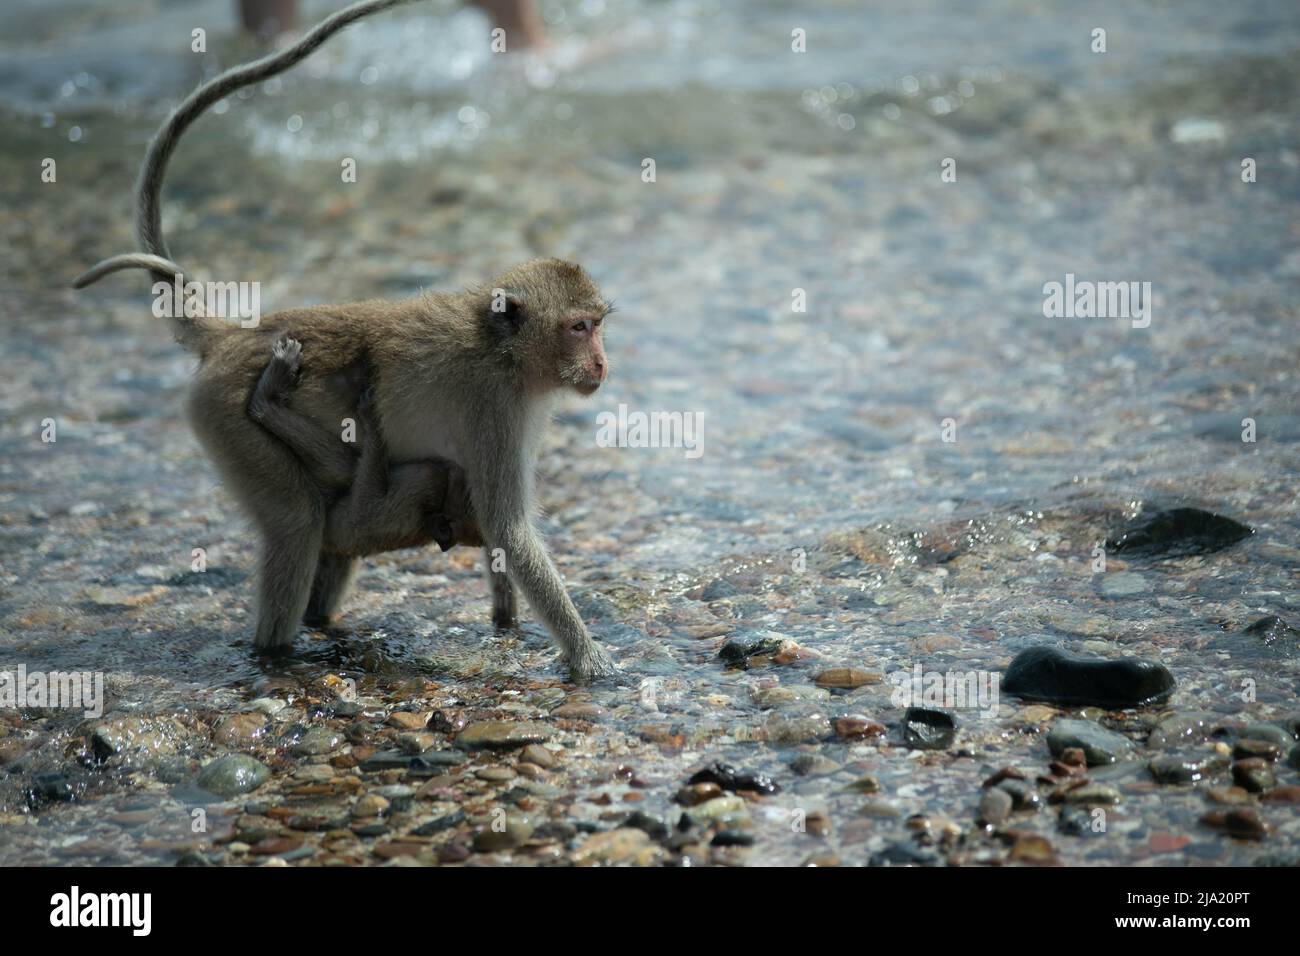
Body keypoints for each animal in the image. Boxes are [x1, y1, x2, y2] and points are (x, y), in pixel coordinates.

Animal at [245, 335, 486, 629]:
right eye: (471, 494)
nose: (465, 476)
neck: (438, 503)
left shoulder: (424, 486)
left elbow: (367, 505)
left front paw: (371, 418)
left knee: (342, 465)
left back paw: (265, 401)